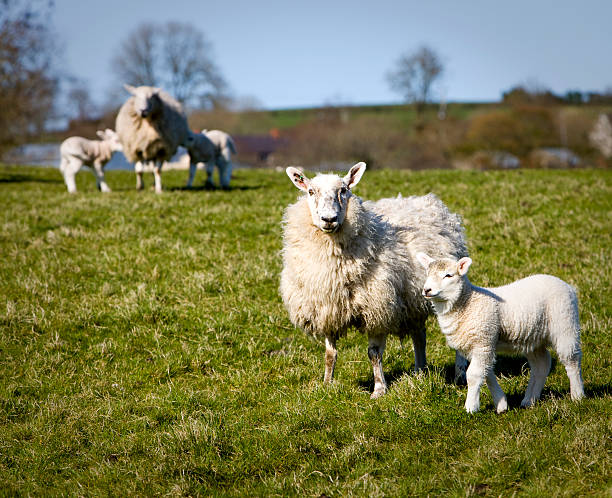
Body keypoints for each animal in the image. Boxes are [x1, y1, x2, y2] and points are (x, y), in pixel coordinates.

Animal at [280, 161, 468, 398]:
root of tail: (428, 201)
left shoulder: (377, 306)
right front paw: (326, 385)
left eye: (344, 190)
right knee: (419, 335)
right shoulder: (328, 308)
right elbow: (330, 353)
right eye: (311, 191)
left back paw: (459, 374)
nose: (329, 219)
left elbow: (374, 353)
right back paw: (420, 372)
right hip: (413, 297)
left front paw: (379, 389)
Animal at [416, 253, 584, 412]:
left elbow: (474, 375)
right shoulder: (479, 346)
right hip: (533, 336)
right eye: (427, 273)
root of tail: (567, 285)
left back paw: (577, 395)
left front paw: (470, 407)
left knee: (571, 359)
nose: (426, 290)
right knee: (541, 364)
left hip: (565, 324)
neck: (467, 302)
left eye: (448, 275)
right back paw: (530, 400)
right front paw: (501, 403)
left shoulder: (483, 341)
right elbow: (487, 373)